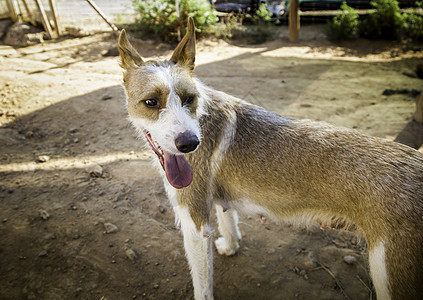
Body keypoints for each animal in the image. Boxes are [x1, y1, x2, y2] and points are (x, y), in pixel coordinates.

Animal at [117, 18, 423, 300]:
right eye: (151, 102)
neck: (202, 118)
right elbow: (229, 223)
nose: (191, 144)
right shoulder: (217, 201)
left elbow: (202, 286)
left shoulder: (194, 225)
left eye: (189, 98)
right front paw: (230, 247)